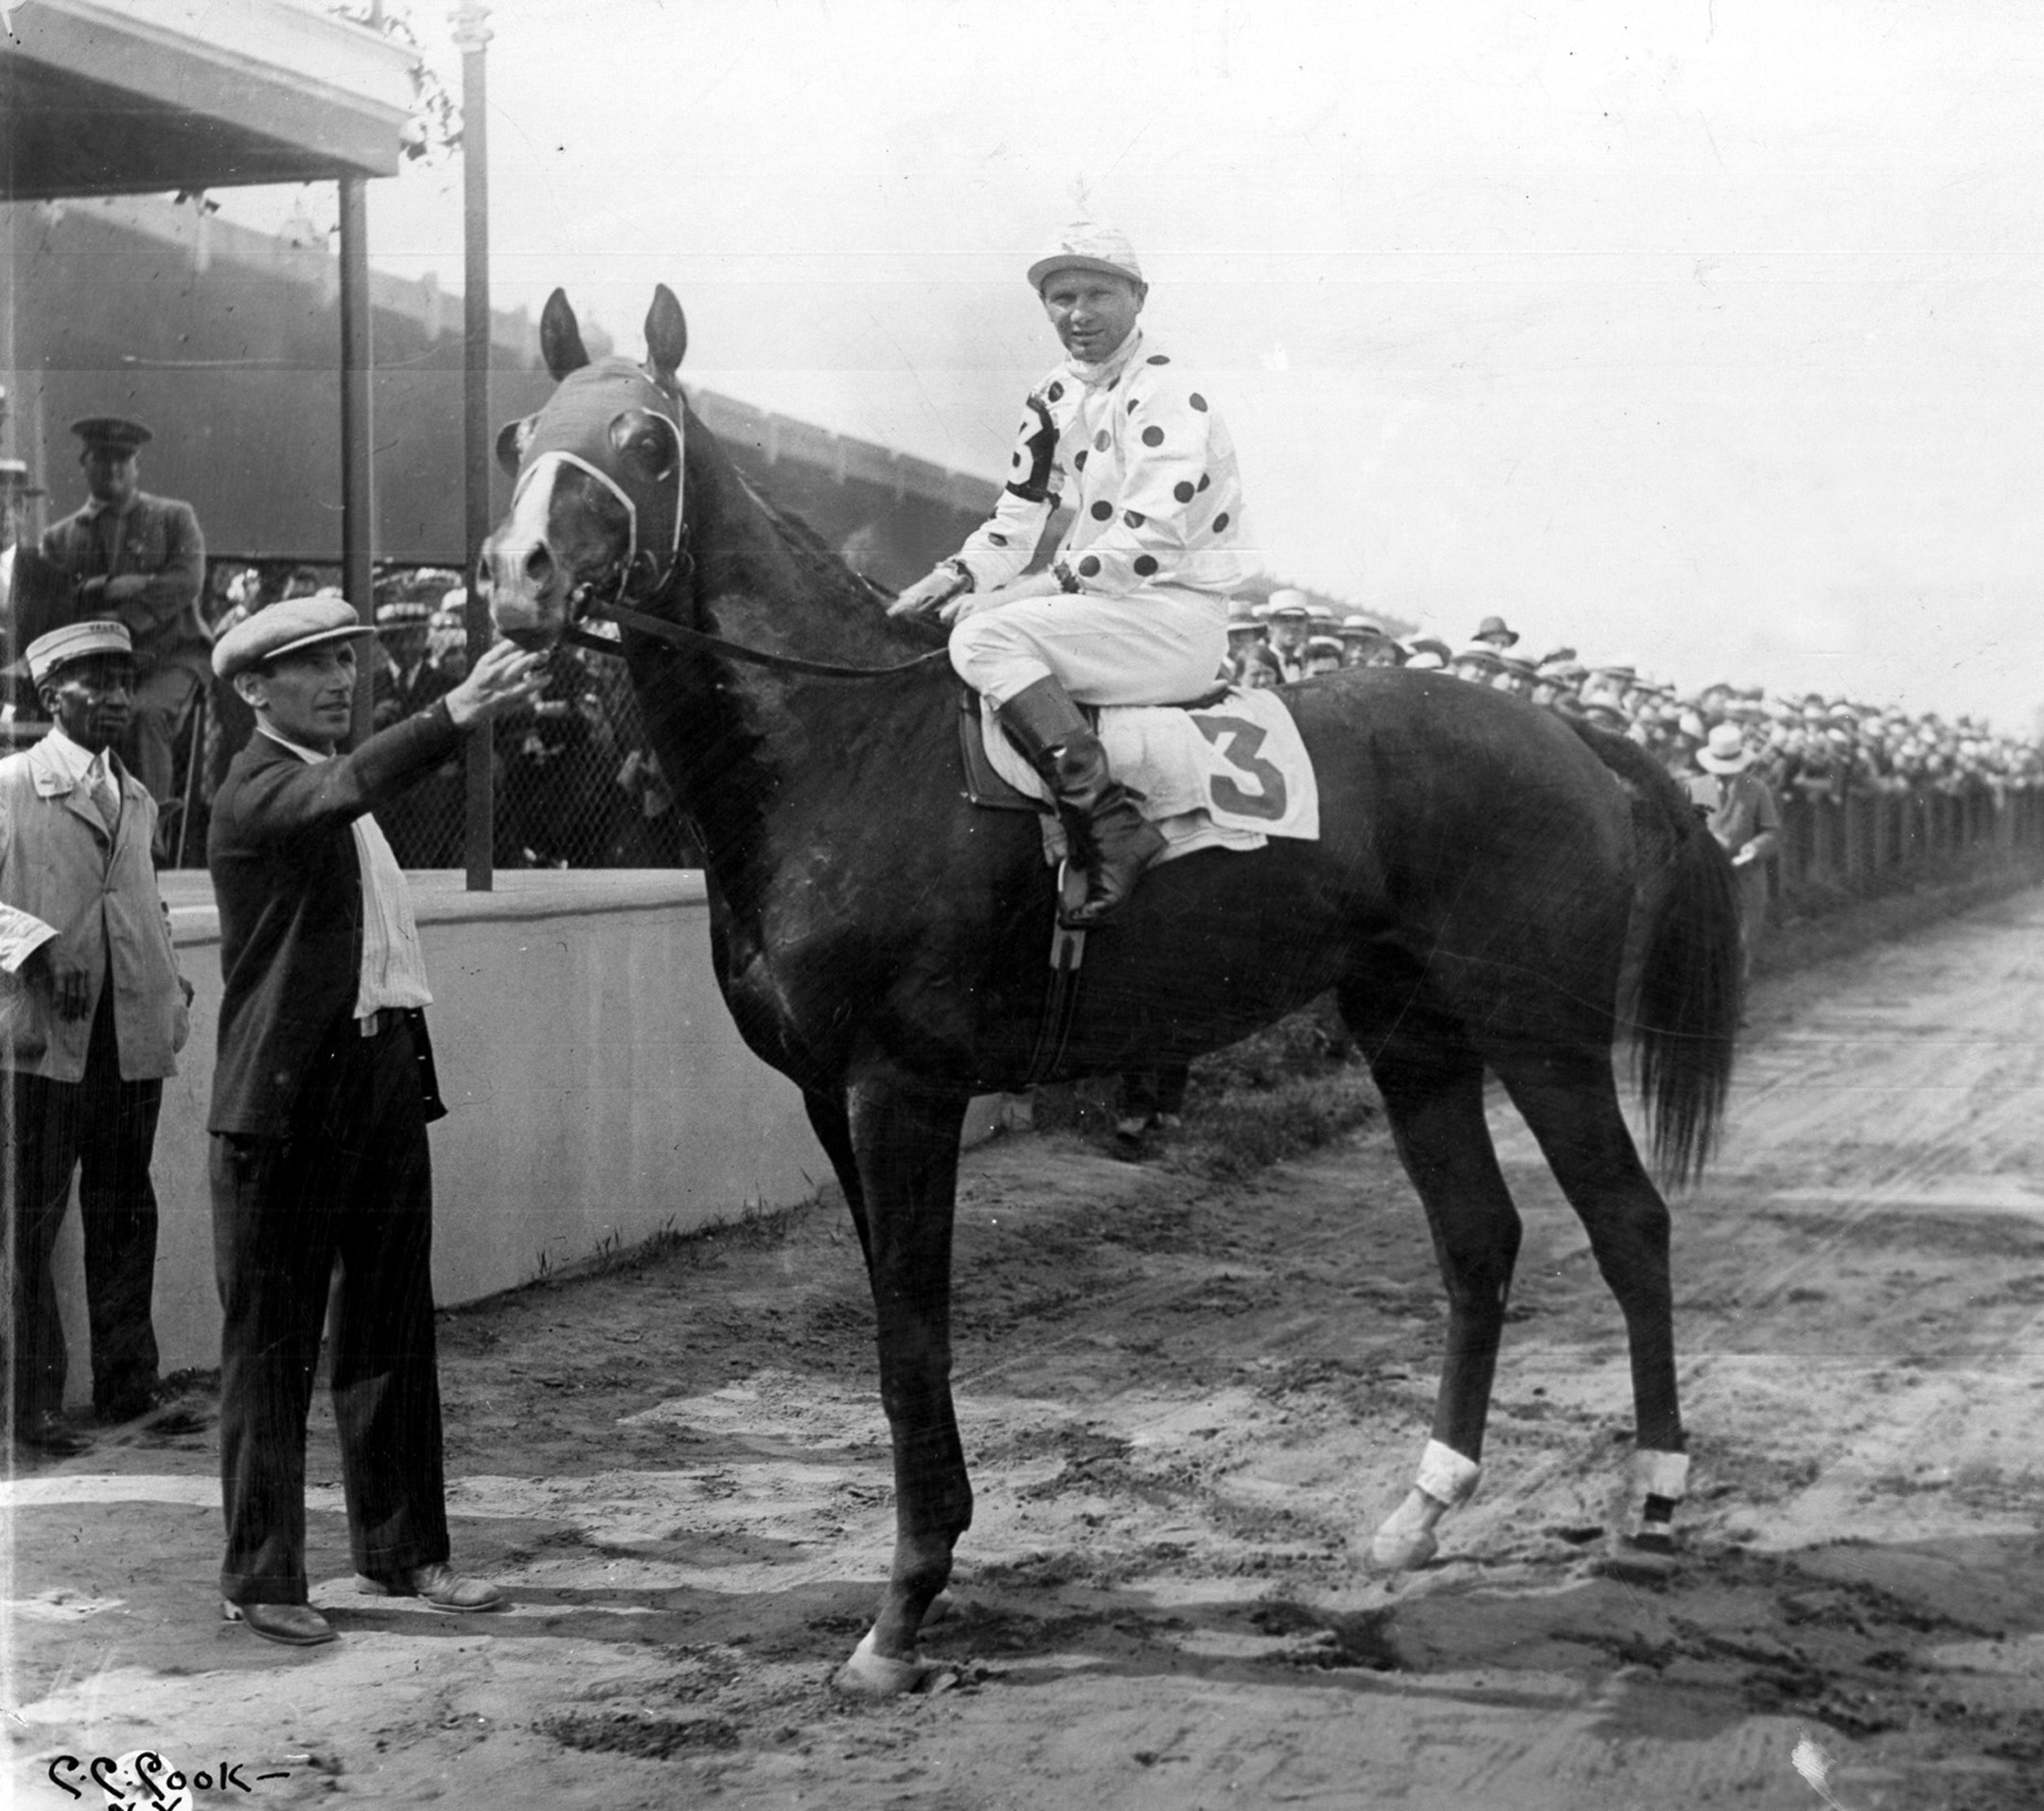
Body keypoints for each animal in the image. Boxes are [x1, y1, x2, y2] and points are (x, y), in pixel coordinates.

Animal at [482, 286, 1741, 1700]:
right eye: (519, 435)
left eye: (645, 441)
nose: (518, 575)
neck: (842, 750)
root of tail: (1566, 732)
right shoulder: (826, 1097)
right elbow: (893, 1322)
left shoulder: (900, 1090)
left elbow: (911, 1330)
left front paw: (903, 1611)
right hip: (1414, 1034)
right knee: (1480, 1238)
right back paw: (1421, 1511)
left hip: (1548, 1034)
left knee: (1630, 1224)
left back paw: (1653, 1502)